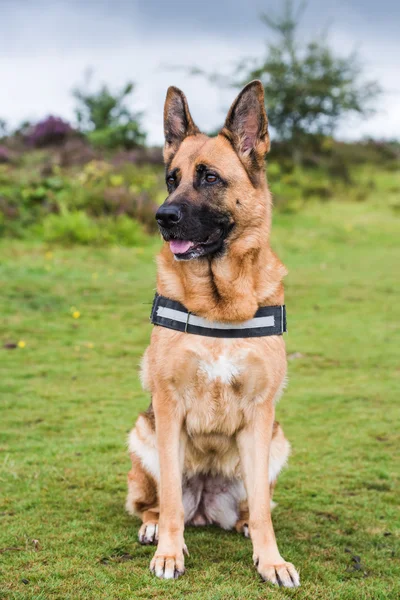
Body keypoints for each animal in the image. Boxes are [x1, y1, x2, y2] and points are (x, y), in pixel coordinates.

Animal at [126, 78, 300, 584]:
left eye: (209, 178)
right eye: (172, 178)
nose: (162, 217)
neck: (220, 305)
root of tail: (204, 507)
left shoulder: (260, 414)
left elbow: (262, 508)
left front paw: (271, 560)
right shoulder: (167, 407)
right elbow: (168, 501)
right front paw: (168, 553)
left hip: (276, 441)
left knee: (252, 506)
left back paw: (241, 525)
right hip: (142, 434)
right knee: (155, 504)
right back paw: (154, 528)